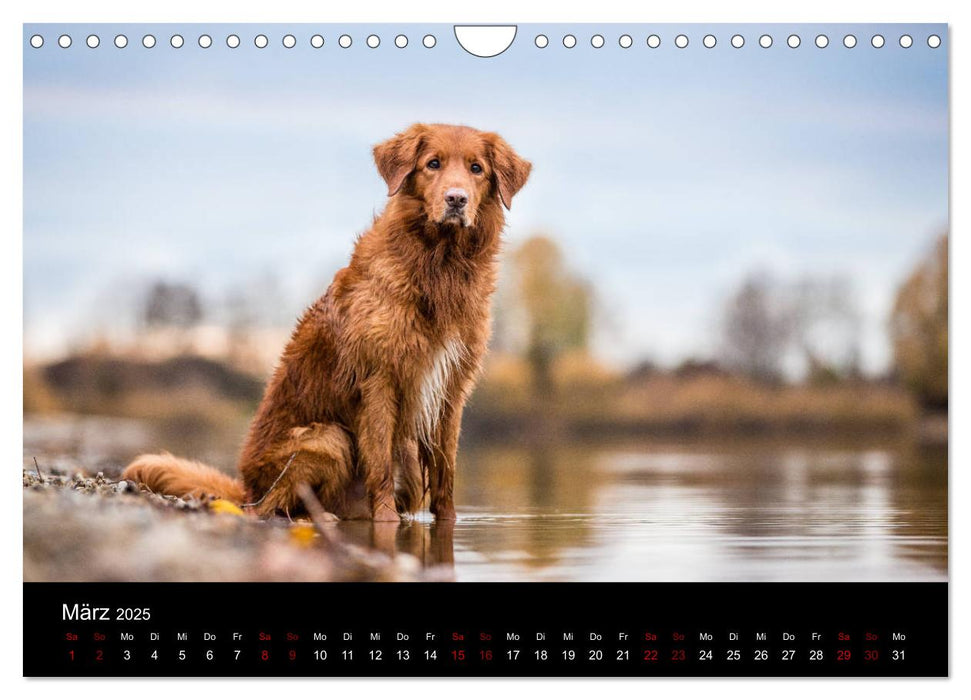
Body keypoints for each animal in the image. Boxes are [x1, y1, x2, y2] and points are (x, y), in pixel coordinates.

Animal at [123, 124, 532, 520]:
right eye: (433, 164)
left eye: (476, 169)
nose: (456, 199)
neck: (440, 263)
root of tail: (245, 487)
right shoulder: (379, 379)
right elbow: (380, 466)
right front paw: (386, 519)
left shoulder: (451, 389)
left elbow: (446, 472)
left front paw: (448, 521)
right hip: (327, 438)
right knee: (270, 507)